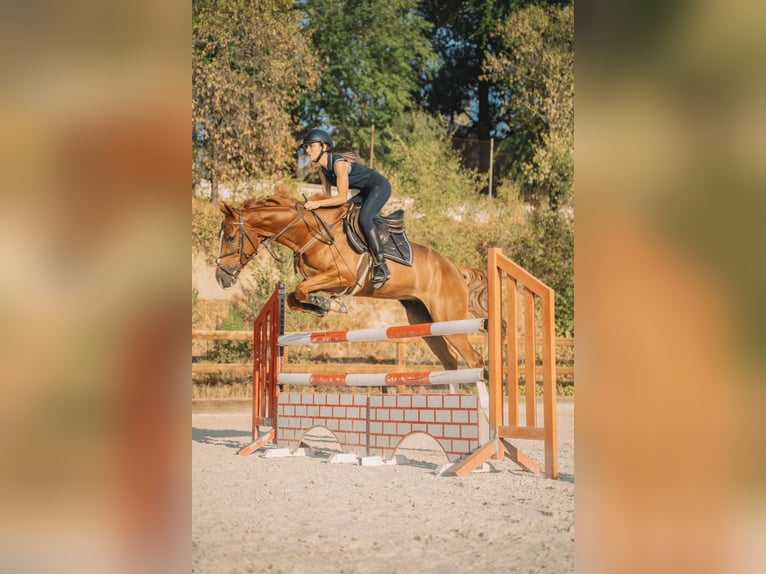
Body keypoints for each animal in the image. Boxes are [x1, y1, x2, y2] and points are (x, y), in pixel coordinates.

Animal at [214, 187, 492, 372]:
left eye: (230, 237)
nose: (221, 278)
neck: (309, 232)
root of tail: (456, 270)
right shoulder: (321, 279)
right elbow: (295, 296)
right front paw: (321, 305)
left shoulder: (342, 276)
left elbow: (302, 290)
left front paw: (330, 305)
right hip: (425, 321)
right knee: (450, 361)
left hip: (447, 318)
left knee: (474, 360)